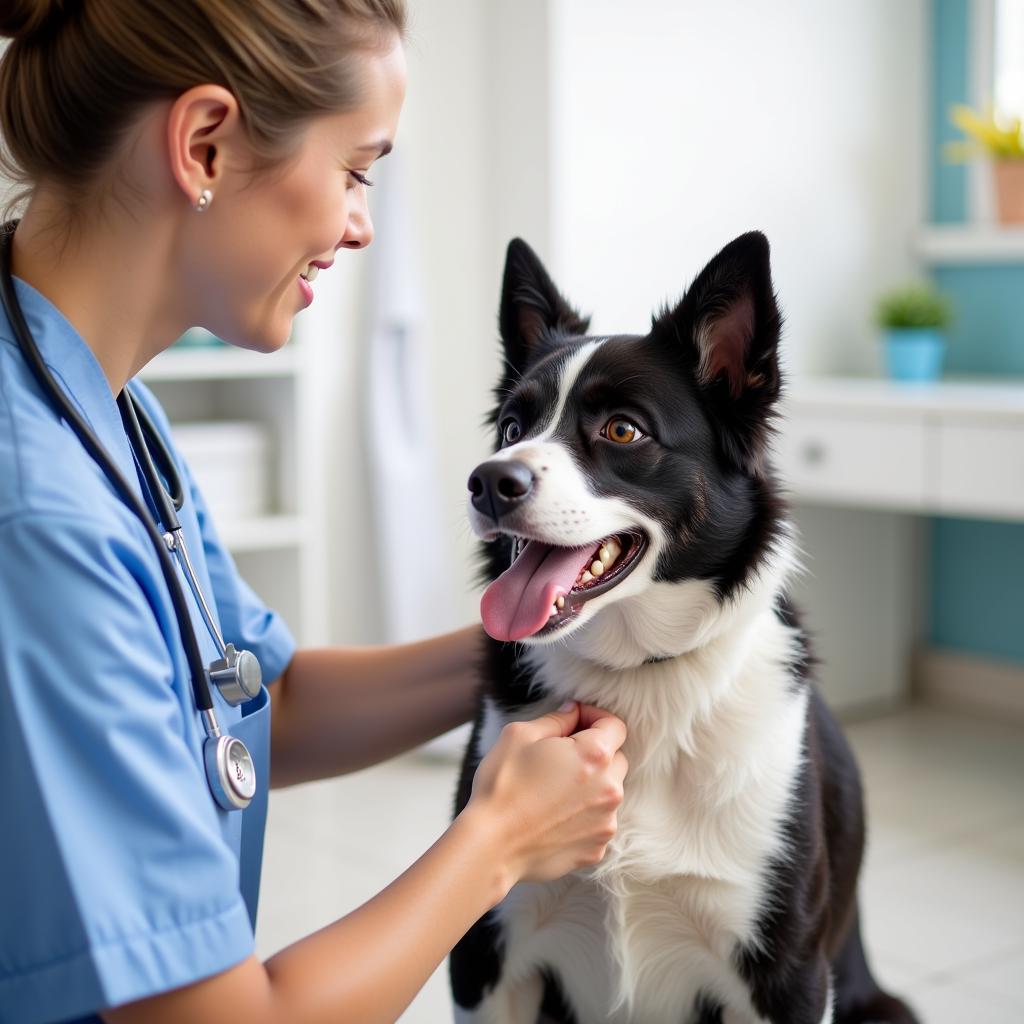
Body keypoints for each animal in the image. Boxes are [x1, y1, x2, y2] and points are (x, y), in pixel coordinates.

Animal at [452, 235, 917, 1024]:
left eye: (622, 429)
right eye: (513, 428)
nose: (487, 482)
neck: (639, 676)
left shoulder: (788, 976)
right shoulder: (486, 957)